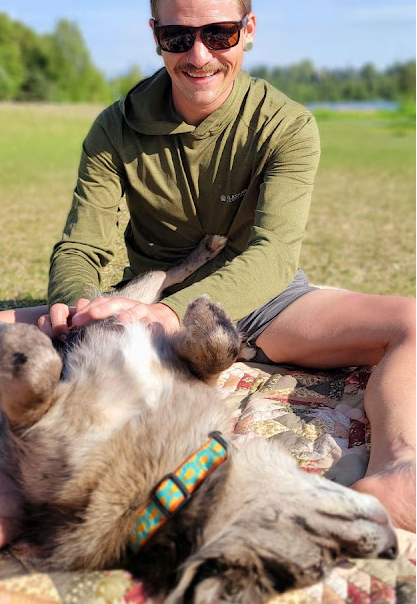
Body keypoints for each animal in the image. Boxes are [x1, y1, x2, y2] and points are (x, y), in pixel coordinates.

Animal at [0, 236, 396, 604]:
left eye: (320, 565)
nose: (392, 549)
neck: (175, 478)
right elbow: (219, 348)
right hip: (125, 300)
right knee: (156, 279)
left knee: (158, 280)